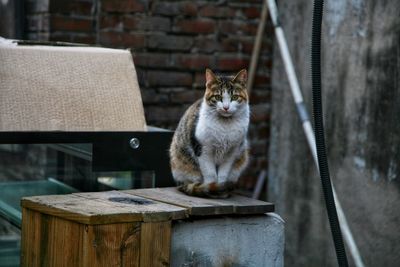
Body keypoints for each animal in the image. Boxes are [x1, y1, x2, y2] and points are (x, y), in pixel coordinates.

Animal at [170, 69, 250, 199]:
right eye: (218, 97)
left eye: (234, 97)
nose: (226, 107)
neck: (225, 125)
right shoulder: (203, 149)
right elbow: (210, 174)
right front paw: (212, 189)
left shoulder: (232, 152)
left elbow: (223, 174)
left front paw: (221, 189)